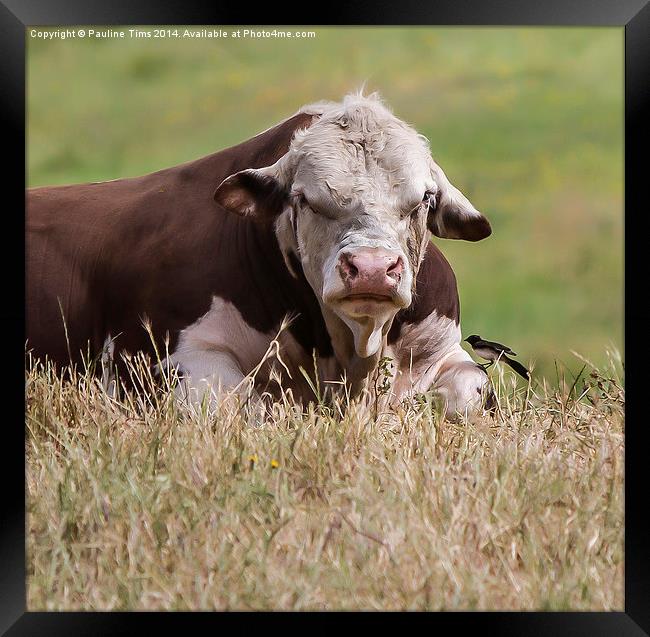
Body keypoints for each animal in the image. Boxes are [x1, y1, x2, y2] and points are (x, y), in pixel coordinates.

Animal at [25, 90, 492, 418]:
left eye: (424, 200)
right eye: (304, 199)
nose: (372, 269)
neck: (351, 351)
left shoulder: (442, 349)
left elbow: (471, 392)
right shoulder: (172, 360)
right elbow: (239, 408)